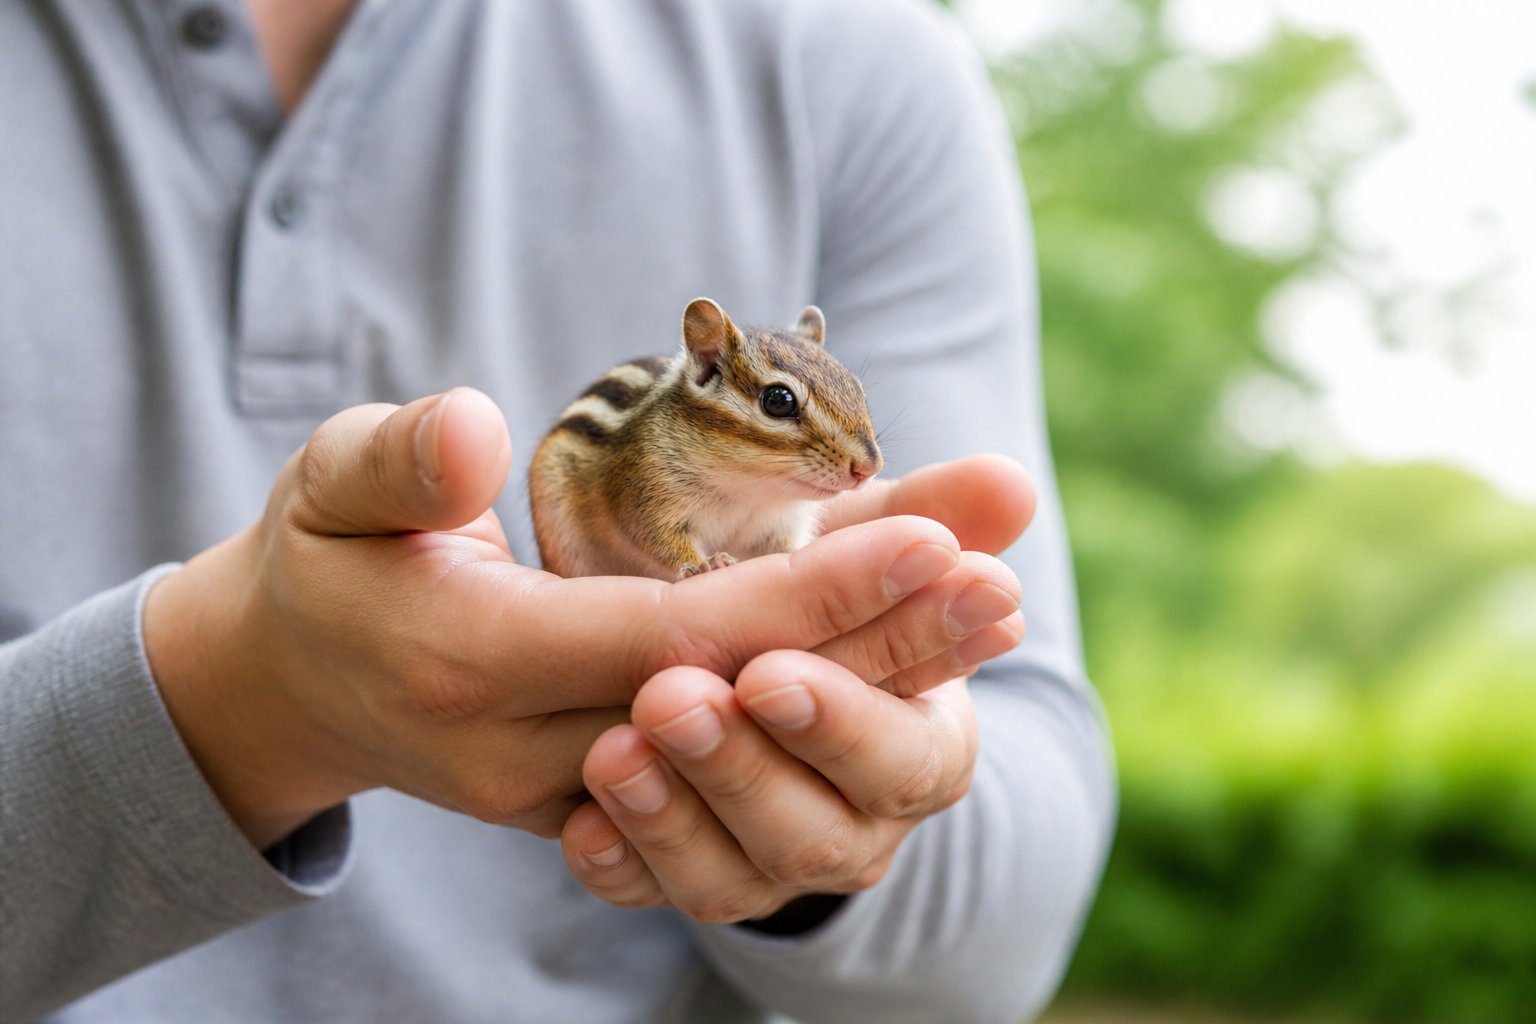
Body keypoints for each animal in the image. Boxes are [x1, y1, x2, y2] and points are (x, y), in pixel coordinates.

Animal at [529, 297, 883, 581]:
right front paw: (704, 564)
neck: (749, 490)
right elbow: (654, 537)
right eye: (778, 401)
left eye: (855, 387)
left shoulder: (777, 525)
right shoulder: (644, 491)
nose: (868, 468)